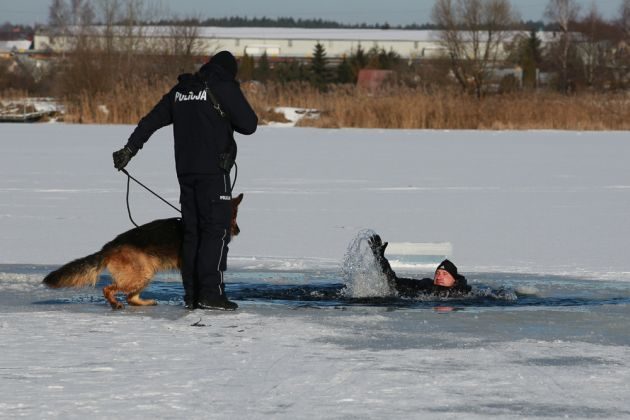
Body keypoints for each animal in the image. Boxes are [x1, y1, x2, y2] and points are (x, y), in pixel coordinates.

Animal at [42, 194, 244, 308]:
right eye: (233, 216)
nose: (238, 231)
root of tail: (109, 246)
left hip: (145, 274)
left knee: (130, 297)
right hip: (142, 274)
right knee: (110, 289)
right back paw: (115, 304)